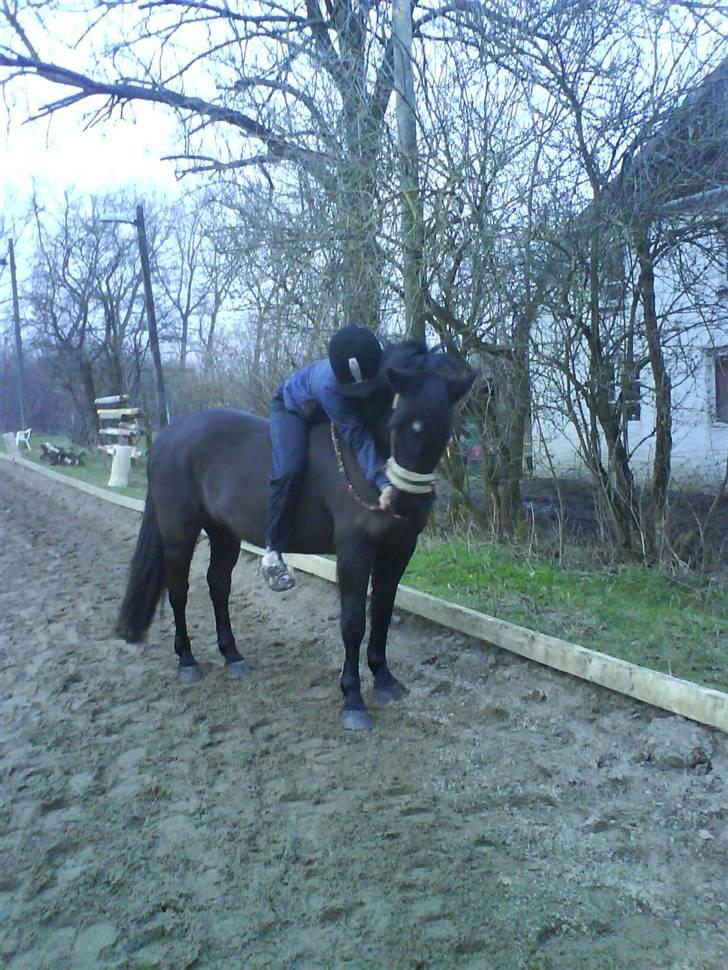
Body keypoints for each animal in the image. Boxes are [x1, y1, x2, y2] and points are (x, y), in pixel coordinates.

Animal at [116, 341, 475, 729]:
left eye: (445, 429)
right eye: (398, 423)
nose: (406, 504)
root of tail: (167, 435)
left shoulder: (398, 550)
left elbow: (382, 613)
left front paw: (385, 679)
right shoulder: (354, 551)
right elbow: (353, 623)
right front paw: (352, 698)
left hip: (224, 533)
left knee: (218, 586)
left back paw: (233, 655)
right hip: (178, 533)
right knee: (179, 591)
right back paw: (187, 660)